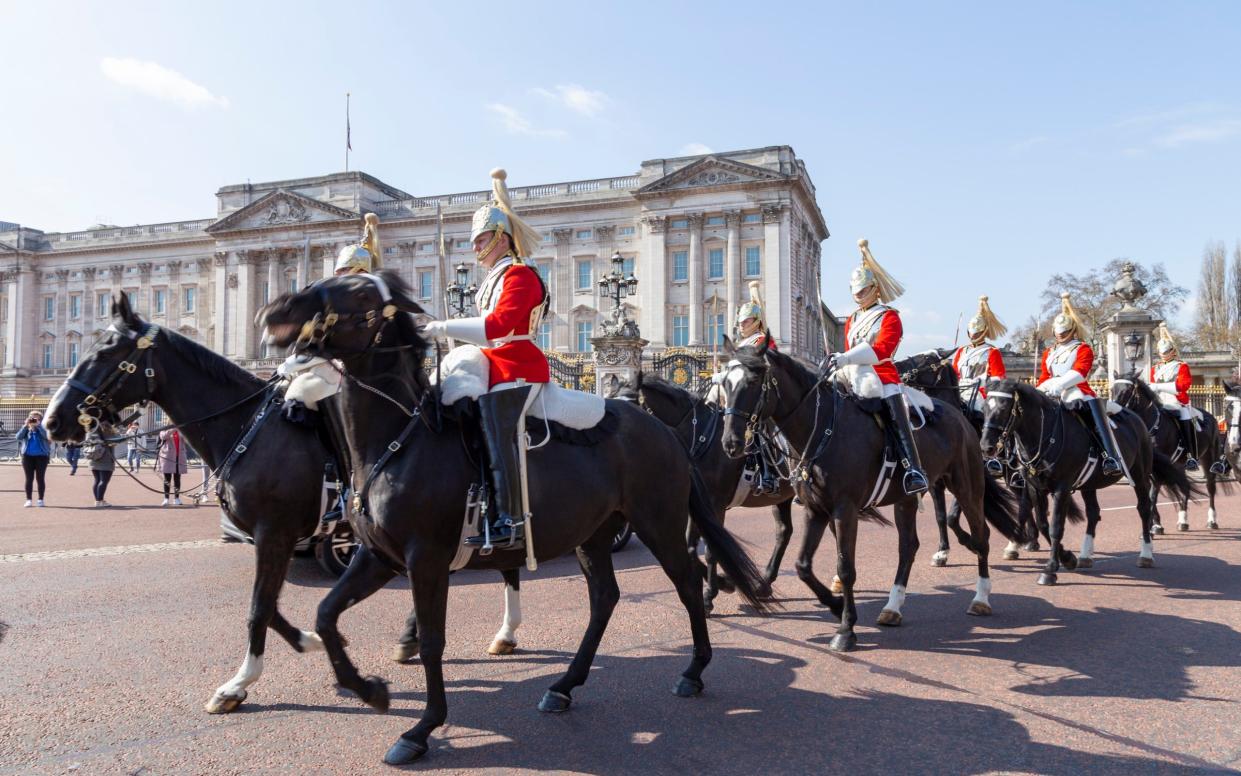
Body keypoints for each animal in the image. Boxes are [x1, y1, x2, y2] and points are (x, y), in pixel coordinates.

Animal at [43, 293, 335, 710]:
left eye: (106, 352)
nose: (51, 421)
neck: (251, 426)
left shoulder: (275, 532)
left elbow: (259, 608)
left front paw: (237, 683)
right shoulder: (270, 537)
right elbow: (267, 606)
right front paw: (309, 640)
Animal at [714, 337, 1022, 645]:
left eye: (754, 380)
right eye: (725, 382)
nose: (730, 443)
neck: (823, 427)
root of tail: (960, 416)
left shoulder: (845, 509)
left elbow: (846, 567)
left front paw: (846, 629)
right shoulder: (816, 509)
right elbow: (803, 565)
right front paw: (836, 606)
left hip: (967, 489)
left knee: (981, 536)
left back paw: (980, 598)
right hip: (907, 499)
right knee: (908, 546)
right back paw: (892, 607)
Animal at [977, 374, 1191, 581]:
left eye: (1004, 407)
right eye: (985, 407)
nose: (986, 447)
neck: (1045, 436)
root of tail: (1137, 420)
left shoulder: (1061, 488)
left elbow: (1056, 526)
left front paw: (1050, 569)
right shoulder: (1034, 487)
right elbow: (1043, 523)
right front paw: (1067, 558)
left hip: (1139, 476)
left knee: (1144, 508)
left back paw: (1146, 553)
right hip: (1090, 483)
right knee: (1093, 513)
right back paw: (1085, 555)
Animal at [1111, 369, 1226, 528]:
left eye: (1127, 390)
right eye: (1112, 390)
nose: (1112, 413)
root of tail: (1211, 416)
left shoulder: (1158, 471)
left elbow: (1152, 495)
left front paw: (1153, 526)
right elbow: (1150, 494)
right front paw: (1156, 523)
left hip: (1209, 458)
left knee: (1210, 487)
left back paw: (1211, 520)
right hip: (1180, 463)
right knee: (1185, 486)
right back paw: (1183, 520)